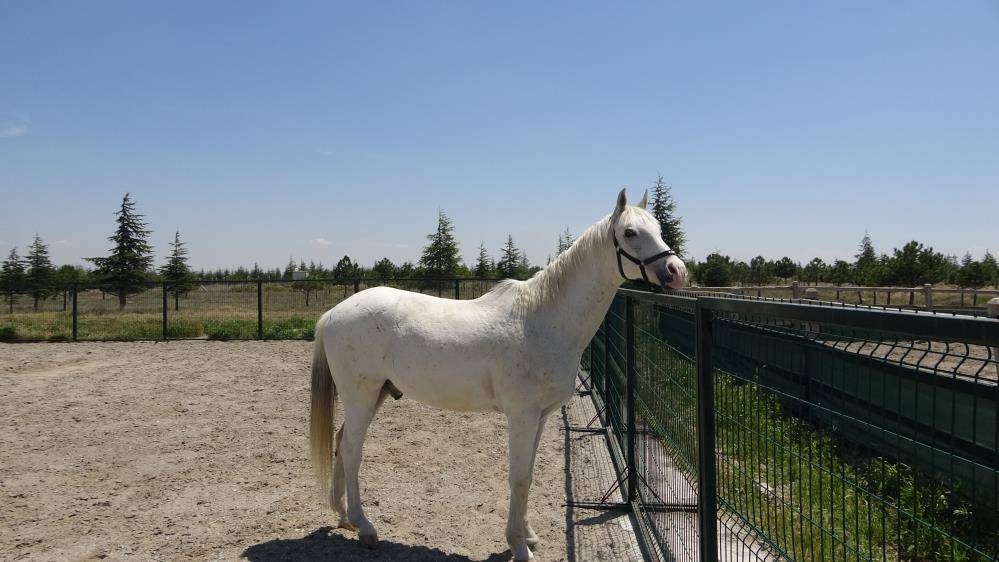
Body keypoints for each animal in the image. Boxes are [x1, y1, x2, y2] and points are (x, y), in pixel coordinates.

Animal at [312, 188, 688, 556]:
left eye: (658, 229)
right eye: (630, 233)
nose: (676, 271)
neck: (543, 320)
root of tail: (333, 314)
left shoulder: (540, 417)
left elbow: (529, 476)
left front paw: (528, 536)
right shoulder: (522, 415)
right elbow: (518, 479)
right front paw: (518, 546)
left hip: (376, 394)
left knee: (341, 442)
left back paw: (343, 516)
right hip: (361, 396)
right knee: (352, 451)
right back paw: (365, 527)